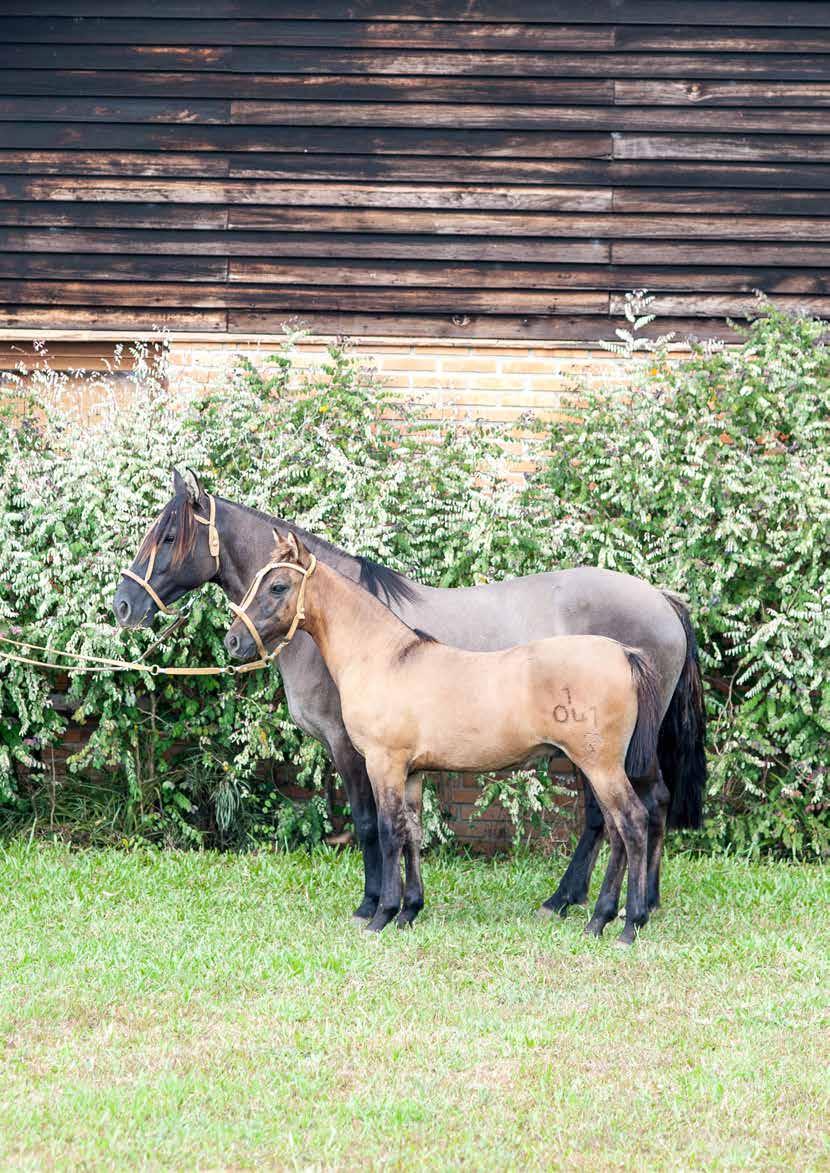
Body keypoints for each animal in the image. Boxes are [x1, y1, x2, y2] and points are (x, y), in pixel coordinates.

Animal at [113, 471, 703, 919]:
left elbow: (372, 824)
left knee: (620, 815)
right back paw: (627, 903)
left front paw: (373, 903)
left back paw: (586, 904)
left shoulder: (351, 748)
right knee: (644, 807)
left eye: (169, 536)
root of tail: (663, 599)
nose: (122, 606)